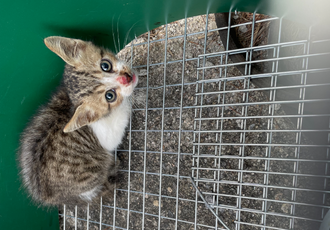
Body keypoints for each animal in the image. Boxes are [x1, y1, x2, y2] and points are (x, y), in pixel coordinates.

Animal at [18, 36, 137, 206]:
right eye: (110, 96)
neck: (71, 104)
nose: (127, 78)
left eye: (105, 65)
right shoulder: (107, 134)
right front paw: (131, 100)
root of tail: (49, 197)